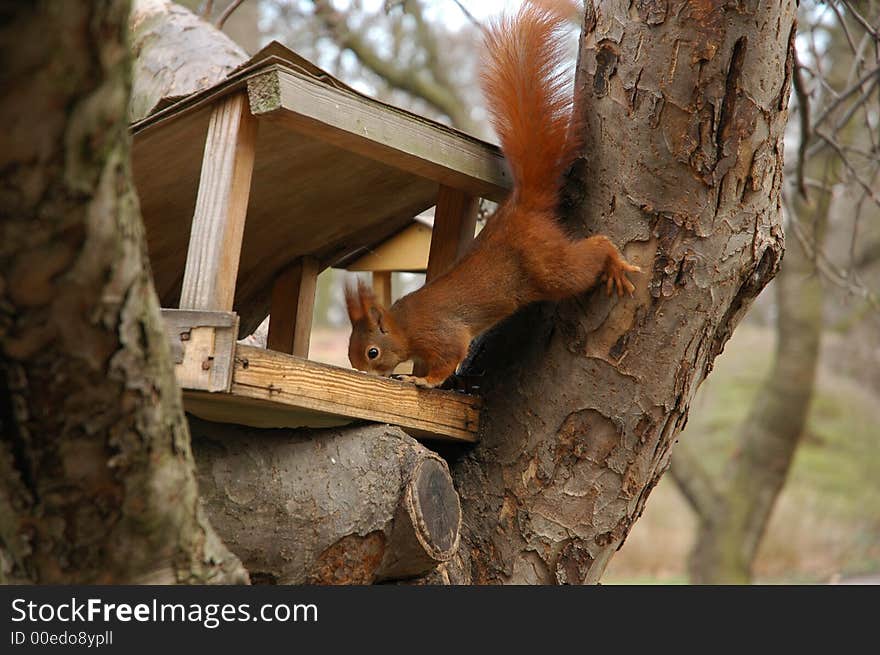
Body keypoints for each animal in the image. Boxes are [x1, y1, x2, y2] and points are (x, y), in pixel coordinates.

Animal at [344, 2, 640, 386]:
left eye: (372, 353)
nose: (359, 374)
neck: (404, 325)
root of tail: (523, 207)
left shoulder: (440, 333)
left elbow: (449, 357)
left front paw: (422, 381)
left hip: (549, 266)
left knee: (588, 257)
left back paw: (614, 261)